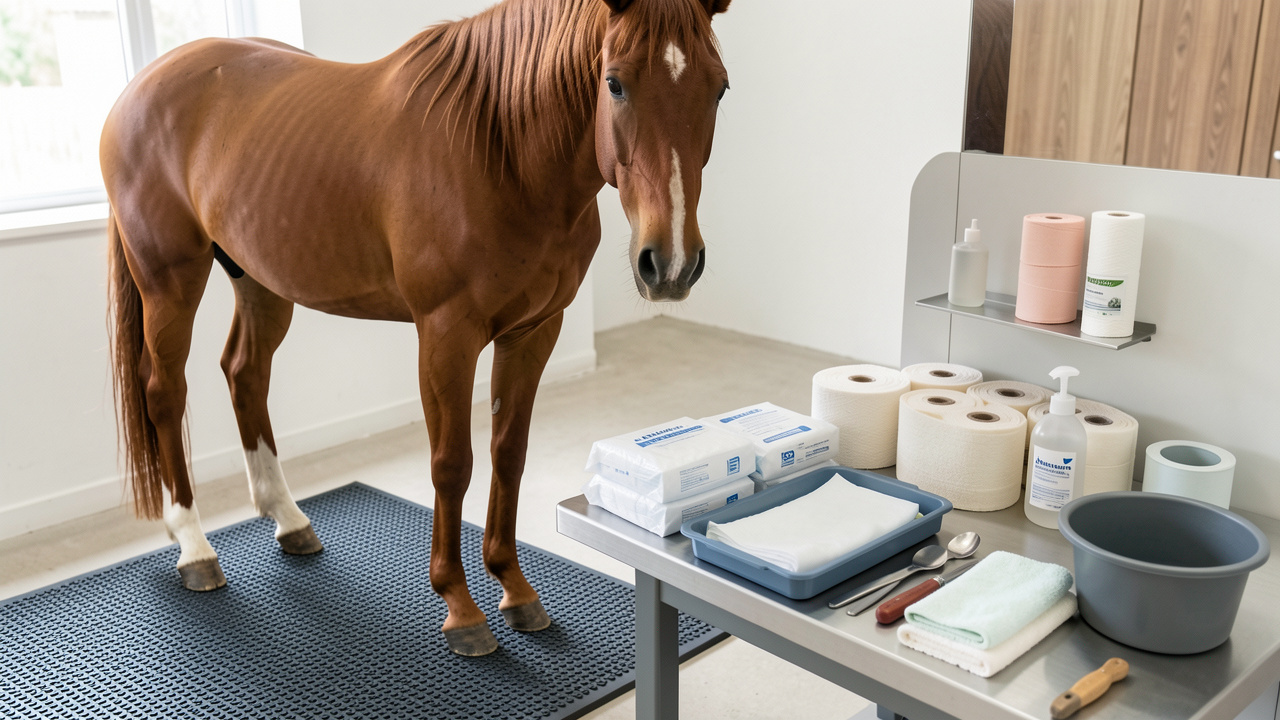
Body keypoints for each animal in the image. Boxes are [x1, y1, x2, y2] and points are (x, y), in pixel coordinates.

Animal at [101, 0, 731, 656]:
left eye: (719, 88)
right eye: (614, 83)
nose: (672, 262)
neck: (502, 154)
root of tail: (140, 87)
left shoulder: (534, 331)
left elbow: (509, 453)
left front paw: (515, 589)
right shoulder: (447, 335)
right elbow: (452, 464)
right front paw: (460, 606)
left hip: (259, 281)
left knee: (245, 373)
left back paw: (288, 518)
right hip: (170, 280)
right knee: (164, 391)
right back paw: (194, 544)